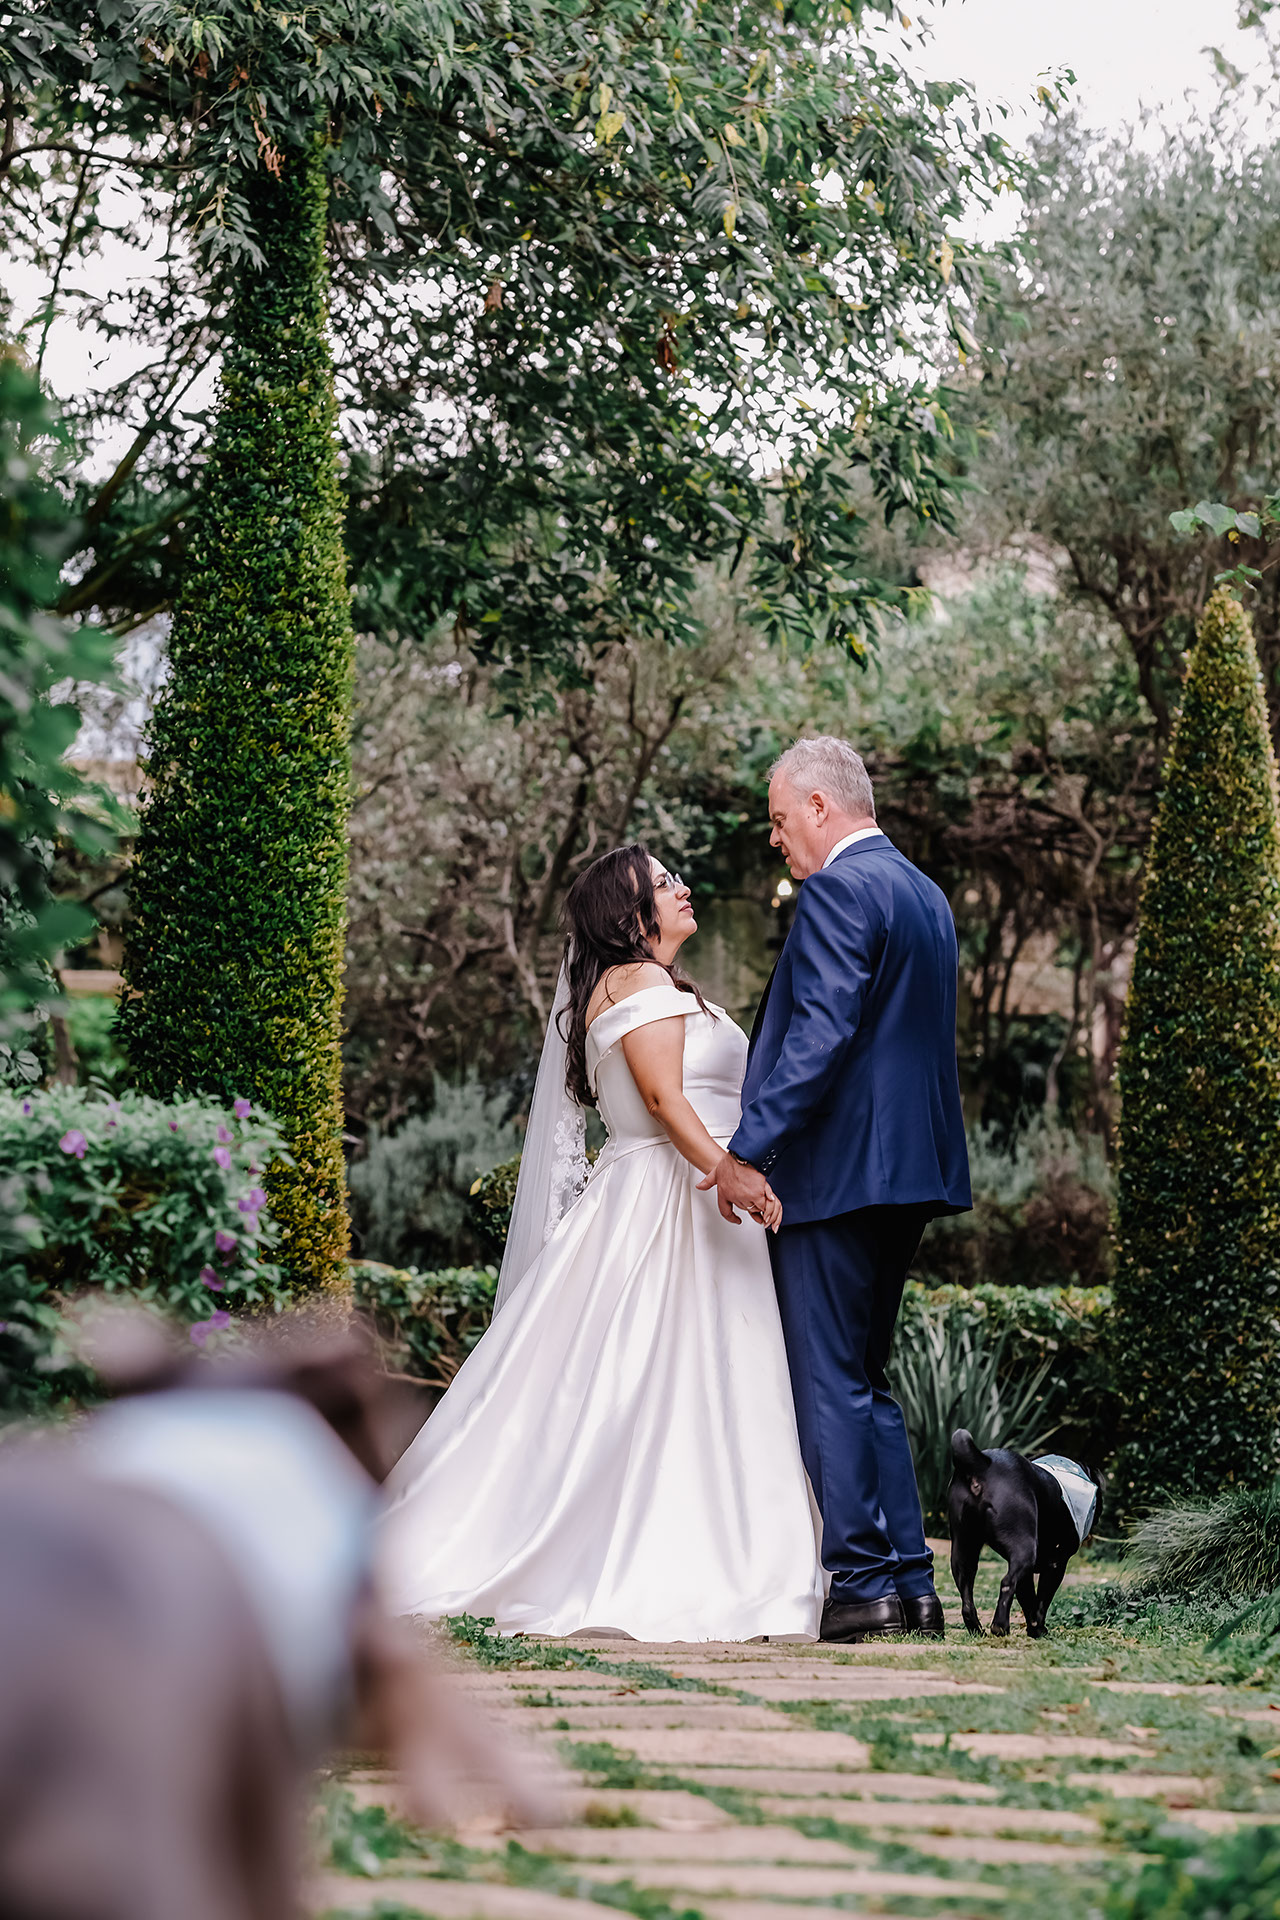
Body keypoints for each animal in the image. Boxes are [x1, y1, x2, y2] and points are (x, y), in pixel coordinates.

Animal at [948, 1430, 1099, 1638]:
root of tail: (981, 1463)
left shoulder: (1026, 1572)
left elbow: (1028, 1599)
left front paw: (1034, 1628)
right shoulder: (1056, 1565)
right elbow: (1041, 1600)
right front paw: (1038, 1629)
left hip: (964, 1551)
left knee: (967, 1597)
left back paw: (976, 1628)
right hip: (1024, 1549)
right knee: (1007, 1582)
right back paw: (1000, 1626)